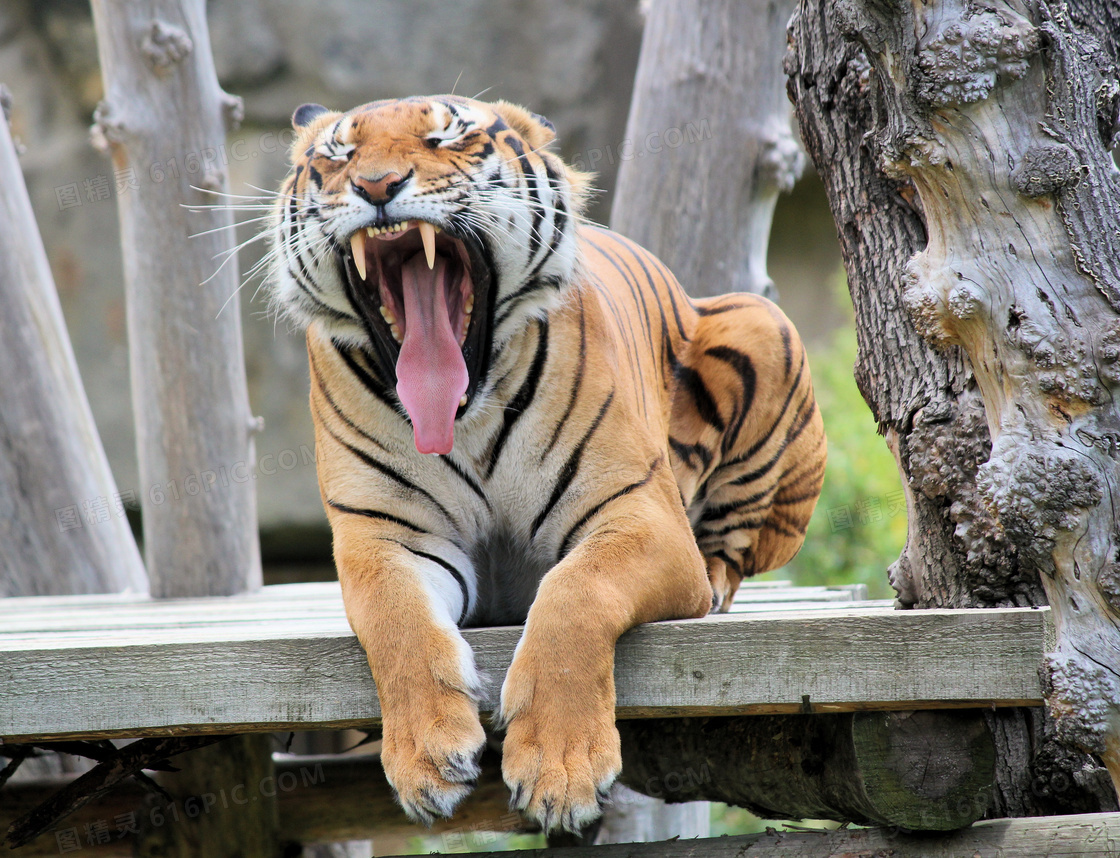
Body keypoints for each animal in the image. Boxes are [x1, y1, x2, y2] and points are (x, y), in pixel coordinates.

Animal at [266, 97, 828, 837]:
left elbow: (573, 596)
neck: (466, 415)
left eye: (447, 136)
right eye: (338, 154)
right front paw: (428, 760)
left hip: (760, 322)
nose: (377, 185)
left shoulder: (636, 514)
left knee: (731, 552)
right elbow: (398, 621)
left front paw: (561, 772)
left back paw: (710, 585)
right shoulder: (384, 537)